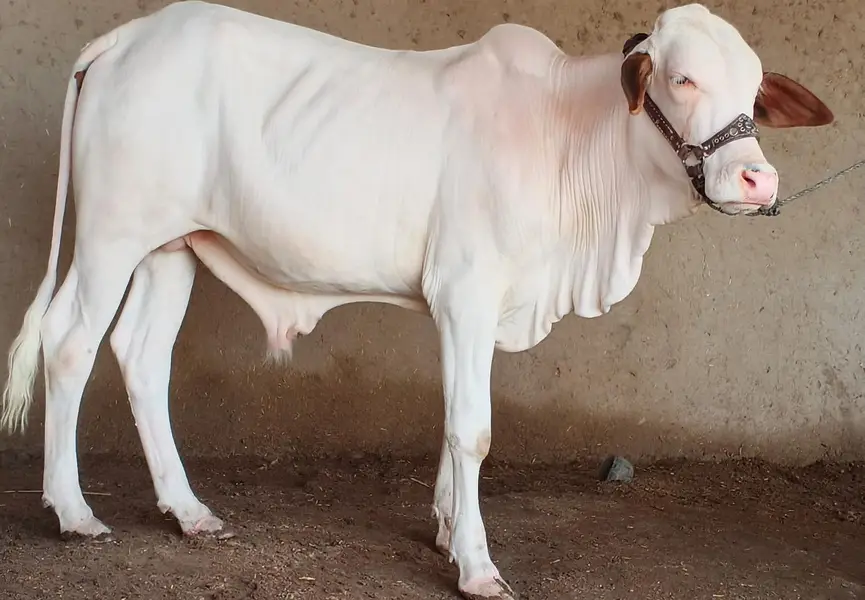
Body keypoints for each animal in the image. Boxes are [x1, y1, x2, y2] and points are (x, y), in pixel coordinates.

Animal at [1, 2, 832, 598]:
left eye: (753, 86)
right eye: (681, 79)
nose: (756, 181)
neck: (567, 140)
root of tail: (135, 33)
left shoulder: (470, 307)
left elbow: (449, 419)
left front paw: (442, 525)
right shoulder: (466, 290)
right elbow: (472, 430)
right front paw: (476, 566)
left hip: (171, 245)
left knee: (141, 356)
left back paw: (190, 511)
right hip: (111, 233)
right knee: (69, 342)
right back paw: (74, 512)